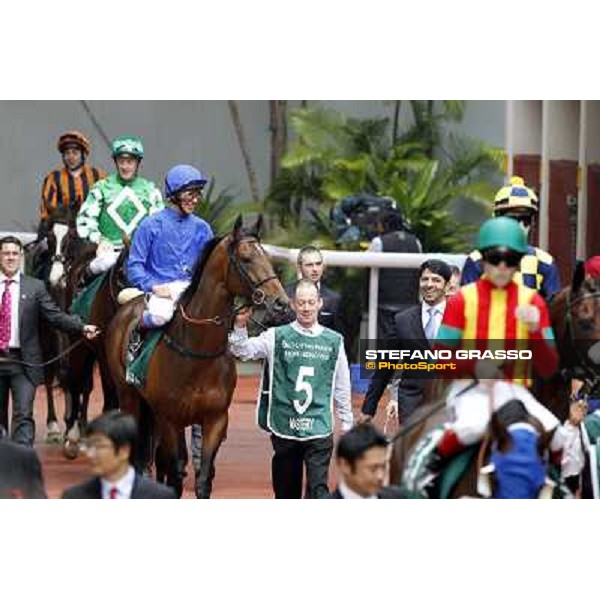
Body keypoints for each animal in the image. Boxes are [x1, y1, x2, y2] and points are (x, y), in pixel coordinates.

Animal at [106, 216, 290, 496]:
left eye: (267, 256)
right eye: (246, 258)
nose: (282, 304)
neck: (198, 353)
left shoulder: (215, 419)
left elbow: (202, 477)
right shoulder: (170, 419)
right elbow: (175, 474)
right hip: (129, 397)